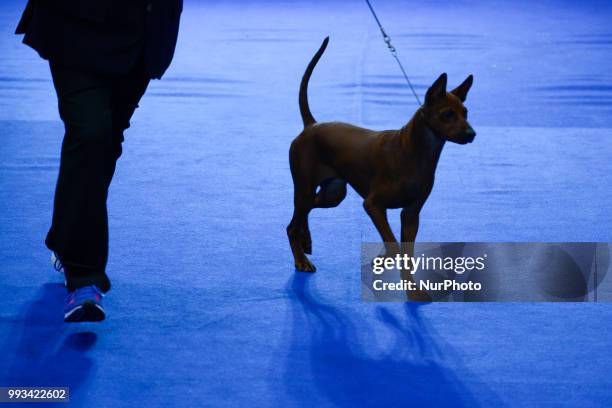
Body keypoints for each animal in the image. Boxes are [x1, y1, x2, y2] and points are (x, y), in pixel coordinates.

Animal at [288, 37, 478, 296]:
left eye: (466, 112)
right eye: (447, 114)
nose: (471, 134)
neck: (415, 152)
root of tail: (311, 125)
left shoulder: (411, 214)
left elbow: (406, 253)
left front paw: (412, 289)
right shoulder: (373, 205)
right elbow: (393, 246)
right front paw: (385, 261)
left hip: (333, 193)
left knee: (304, 213)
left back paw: (306, 240)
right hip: (306, 187)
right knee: (292, 224)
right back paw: (301, 260)